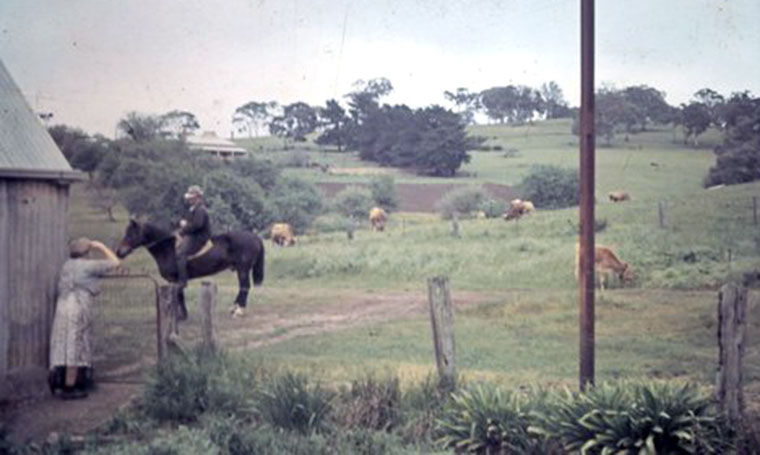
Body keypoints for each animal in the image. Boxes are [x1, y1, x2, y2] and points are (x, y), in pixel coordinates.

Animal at [115, 219, 264, 318]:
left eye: (131, 234)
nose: (119, 252)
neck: (167, 248)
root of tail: (254, 236)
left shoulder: (174, 279)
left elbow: (178, 294)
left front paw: (180, 316)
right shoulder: (174, 280)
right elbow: (179, 295)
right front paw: (182, 315)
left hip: (243, 270)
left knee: (245, 287)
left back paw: (239, 310)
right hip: (241, 269)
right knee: (243, 287)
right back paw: (234, 308)